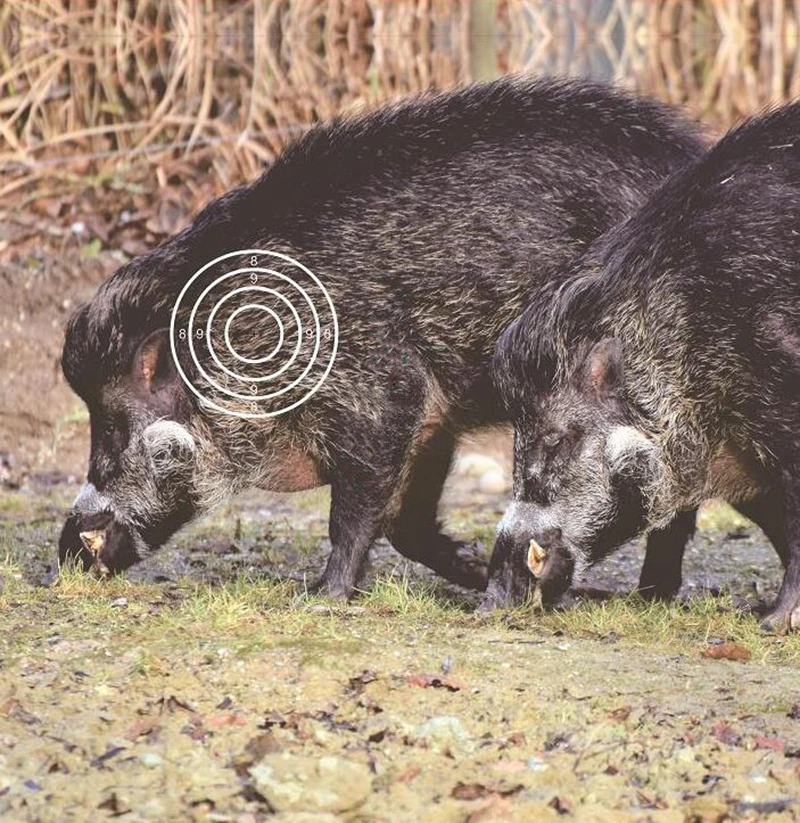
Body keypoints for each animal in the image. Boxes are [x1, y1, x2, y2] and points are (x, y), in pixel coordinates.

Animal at [58, 76, 705, 599]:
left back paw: (648, 595)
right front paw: (474, 570)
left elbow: (355, 514)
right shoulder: (433, 418)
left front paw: (321, 595)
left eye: (112, 426)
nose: (65, 549)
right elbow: (405, 525)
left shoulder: (381, 396)